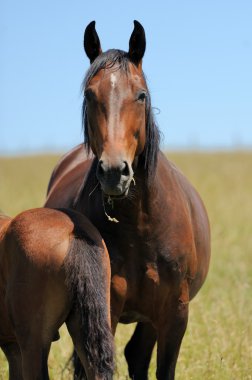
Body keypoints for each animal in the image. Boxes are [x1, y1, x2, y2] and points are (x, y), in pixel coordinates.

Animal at [45, 21, 211, 380]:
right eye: (90, 94)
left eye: (141, 94)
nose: (113, 171)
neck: (142, 225)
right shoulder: (105, 308)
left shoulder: (175, 314)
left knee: (137, 356)